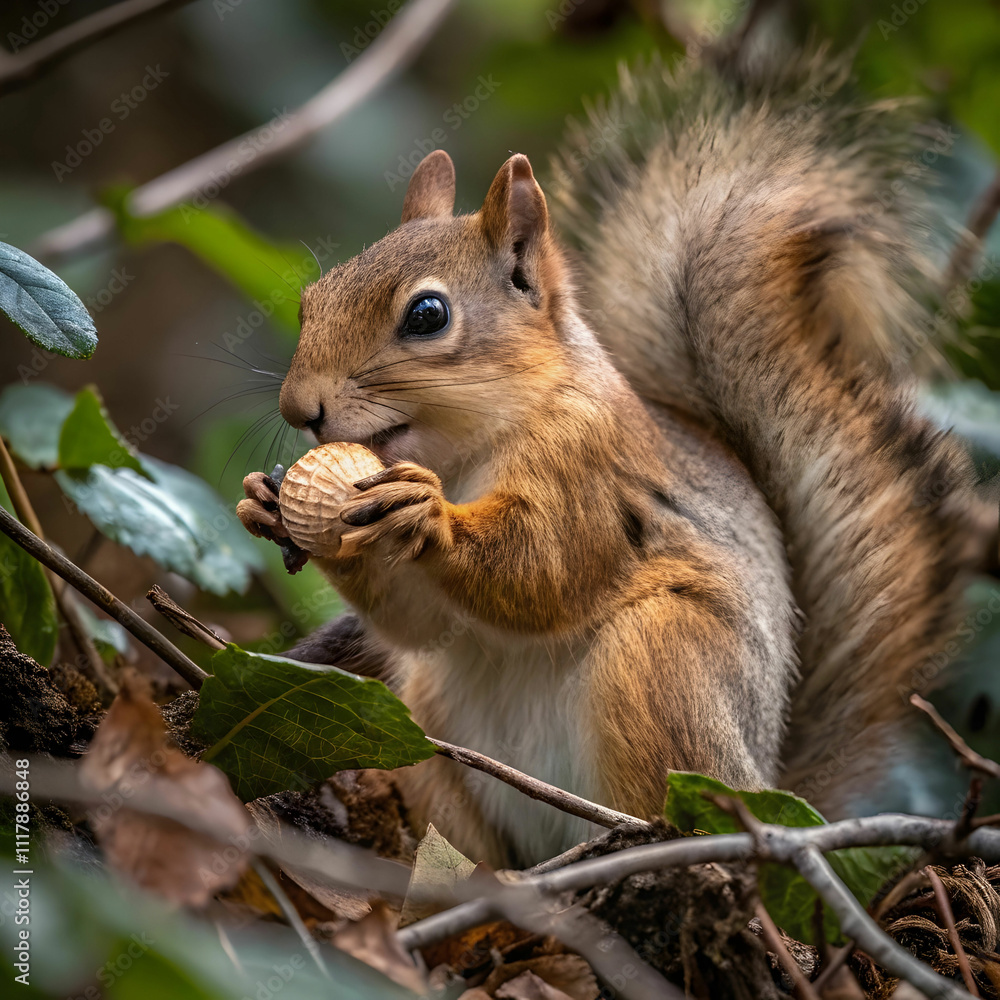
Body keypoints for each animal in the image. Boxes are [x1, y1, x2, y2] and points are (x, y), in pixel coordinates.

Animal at [237, 52, 991, 867]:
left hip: (663, 666)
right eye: (312, 298)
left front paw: (431, 516)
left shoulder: (591, 472)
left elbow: (545, 568)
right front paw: (264, 503)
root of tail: (774, 794)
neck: (472, 447)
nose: (298, 408)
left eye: (427, 315)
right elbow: (419, 622)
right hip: (427, 726)